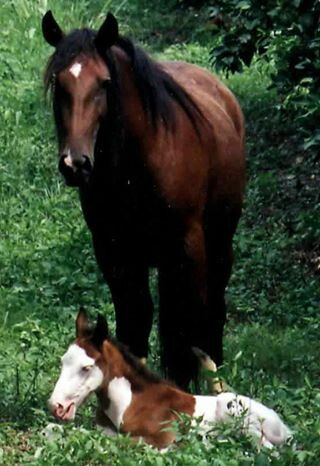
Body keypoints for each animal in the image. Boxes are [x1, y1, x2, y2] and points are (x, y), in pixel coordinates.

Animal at [42, 11, 245, 390]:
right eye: (58, 84)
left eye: (104, 82)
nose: (75, 164)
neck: (137, 169)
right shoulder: (115, 253)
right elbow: (135, 320)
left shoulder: (185, 249)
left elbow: (181, 324)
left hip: (219, 241)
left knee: (211, 305)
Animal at [48, 312, 292, 450]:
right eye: (63, 362)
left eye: (86, 367)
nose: (56, 406)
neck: (130, 402)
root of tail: (286, 428)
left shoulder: (162, 439)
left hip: (234, 410)